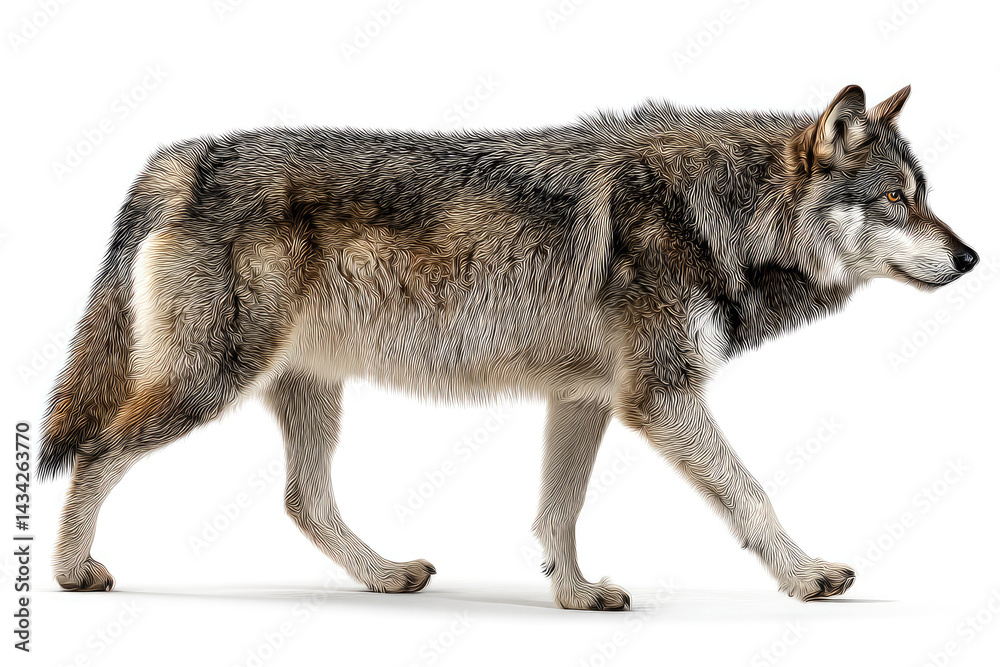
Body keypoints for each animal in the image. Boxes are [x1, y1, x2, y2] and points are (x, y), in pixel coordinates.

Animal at [39, 84, 977, 610]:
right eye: (895, 199)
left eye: (925, 195)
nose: (972, 257)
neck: (723, 213)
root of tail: (183, 155)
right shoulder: (660, 396)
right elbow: (750, 494)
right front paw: (806, 575)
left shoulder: (586, 398)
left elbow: (557, 511)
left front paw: (574, 594)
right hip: (211, 383)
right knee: (97, 450)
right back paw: (71, 573)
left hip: (308, 388)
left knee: (303, 499)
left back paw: (385, 575)